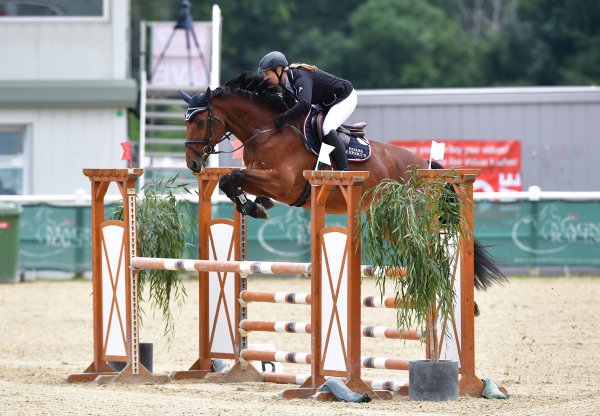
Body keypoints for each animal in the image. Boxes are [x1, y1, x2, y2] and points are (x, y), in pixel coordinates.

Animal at [180, 72, 504, 290]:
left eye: (200, 121)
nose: (193, 164)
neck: (267, 129)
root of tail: (425, 166)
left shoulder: (282, 183)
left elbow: (233, 177)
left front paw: (254, 205)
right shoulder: (265, 180)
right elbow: (230, 182)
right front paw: (254, 205)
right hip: (389, 223)